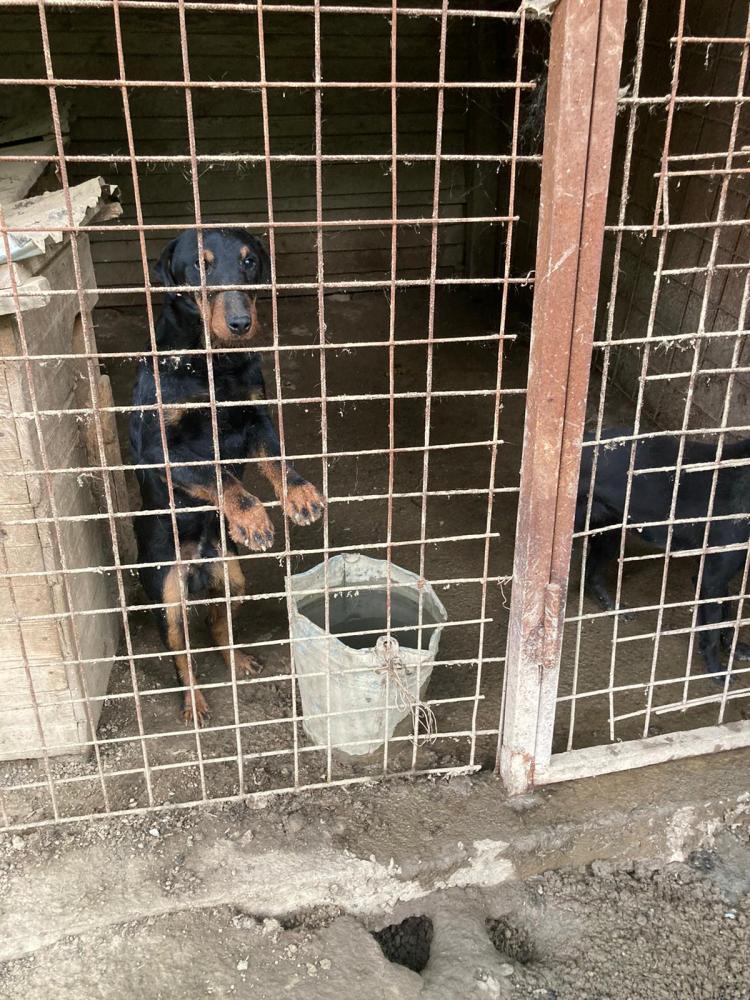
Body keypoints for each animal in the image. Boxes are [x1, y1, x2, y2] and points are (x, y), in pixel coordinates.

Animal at [130, 228, 324, 724]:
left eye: (250, 261)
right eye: (200, 265)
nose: (240, 322)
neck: (213, 364)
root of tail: (198, 566)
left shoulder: (256, 416)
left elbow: (277, 458)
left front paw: (301, 496)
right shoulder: (161, 450)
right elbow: (218, 475)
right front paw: (252, 518)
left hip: (233, 576)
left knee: (220, 625)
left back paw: (236, 660)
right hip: (167, 597)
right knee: (182, 655)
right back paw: (194, 702)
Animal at [575, 426, 750, 679]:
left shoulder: (719, 576)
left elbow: (726, 614)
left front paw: (735, 650)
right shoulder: (711, 578)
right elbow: (712, 629)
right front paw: (717, 672)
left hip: (609, 532)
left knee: (592, 575)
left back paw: (614, 609)